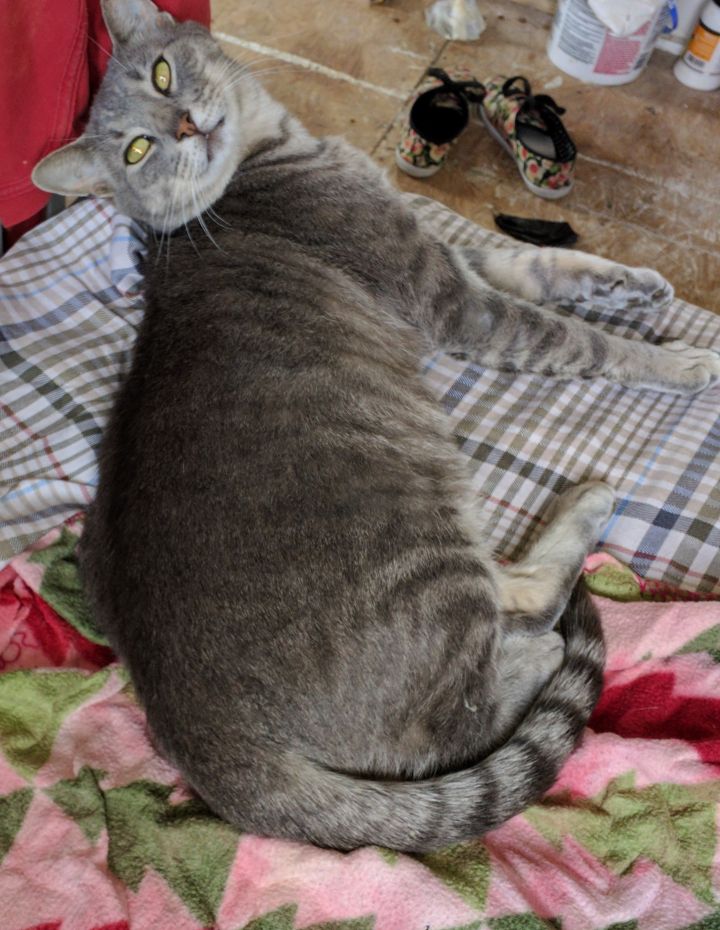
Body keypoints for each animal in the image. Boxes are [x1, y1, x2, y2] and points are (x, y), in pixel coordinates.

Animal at [32, 0, 720, 848]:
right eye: (136, 148)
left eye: (162, 75)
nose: (186, 125)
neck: (275, 145)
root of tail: (193, 734)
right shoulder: (454, 301)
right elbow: (582, 340)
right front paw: (685, 361)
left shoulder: (457, 259)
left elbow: (550, 269)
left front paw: (639, 288)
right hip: (424, 552)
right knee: (490, 674)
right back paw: (567, 572)